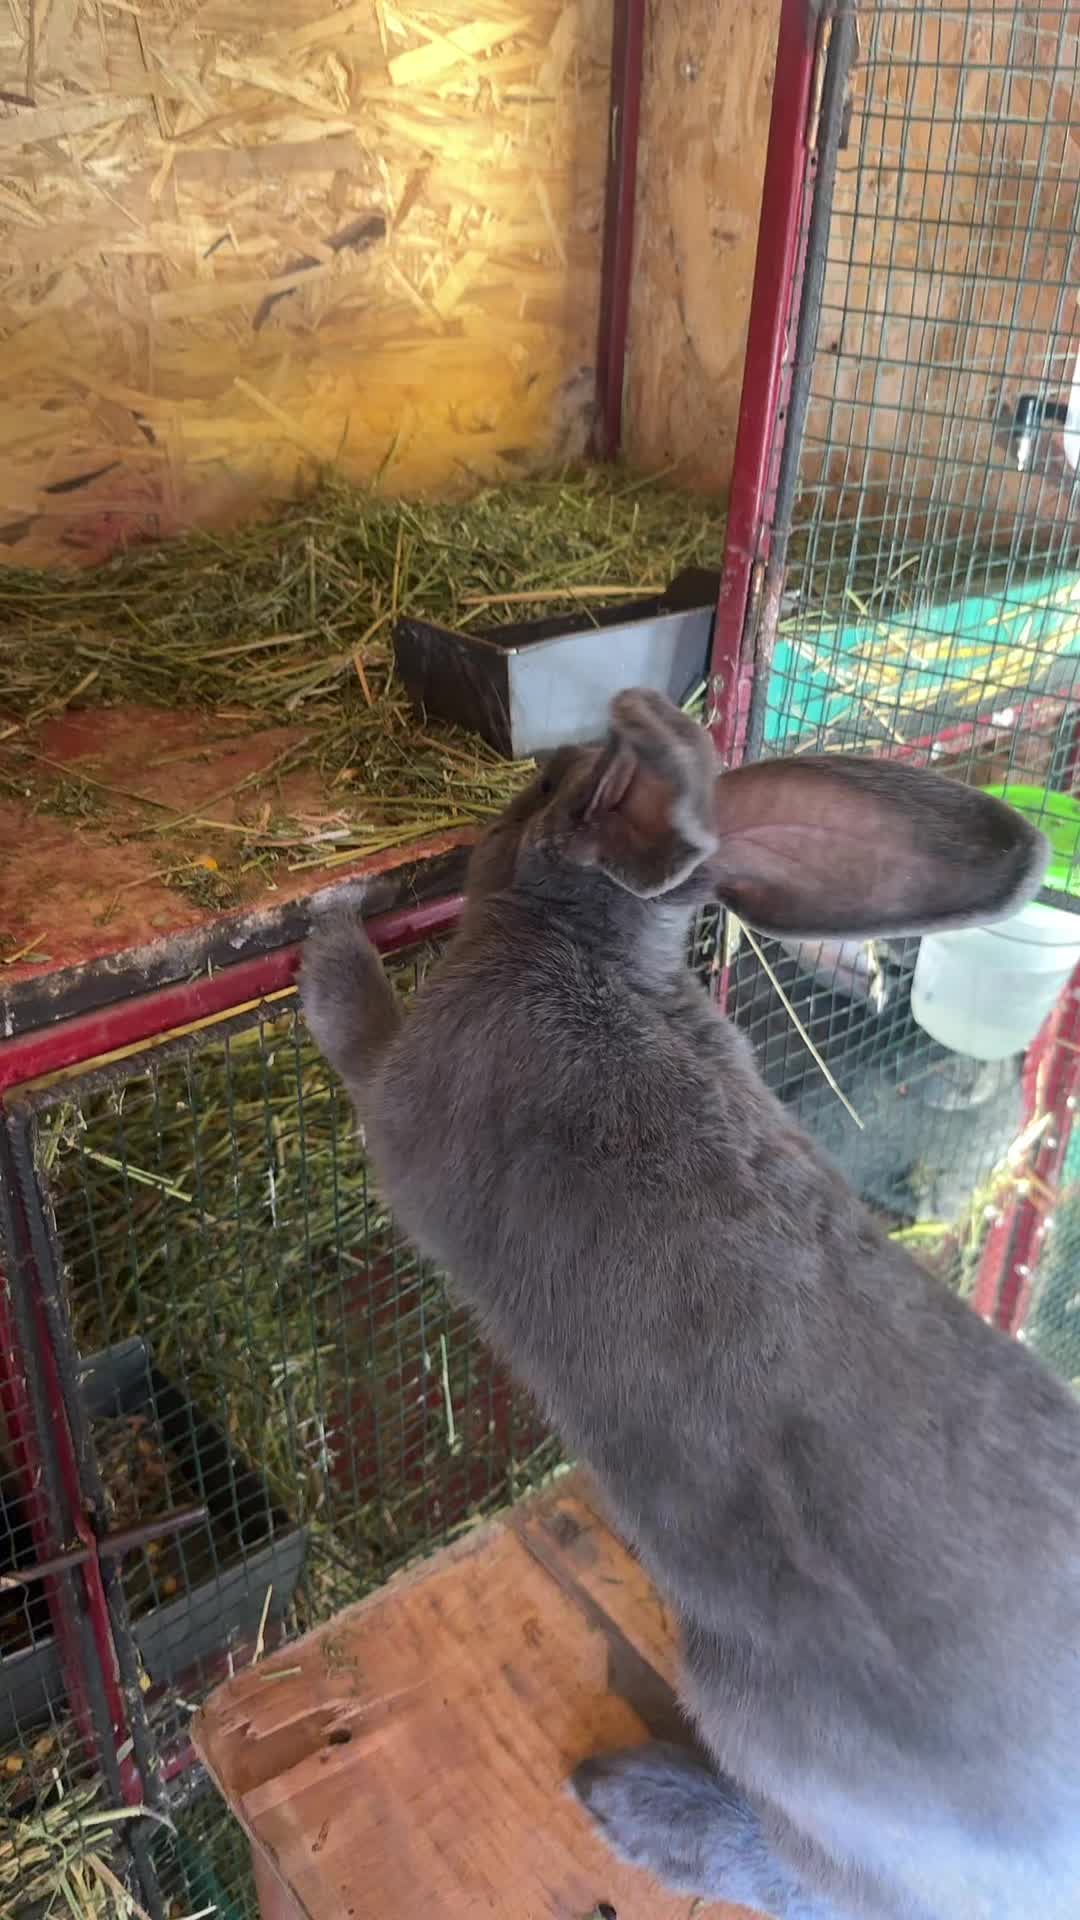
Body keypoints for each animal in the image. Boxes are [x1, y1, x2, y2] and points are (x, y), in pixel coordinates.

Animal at [300, 689, 1080, 1920]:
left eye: (545, 788)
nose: (522, 784)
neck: (592, 953)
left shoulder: (393, 1075)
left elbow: (346, 1012)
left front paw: (328, 920)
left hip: (772, 1732)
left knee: (815, 1884)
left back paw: (638, 1805)